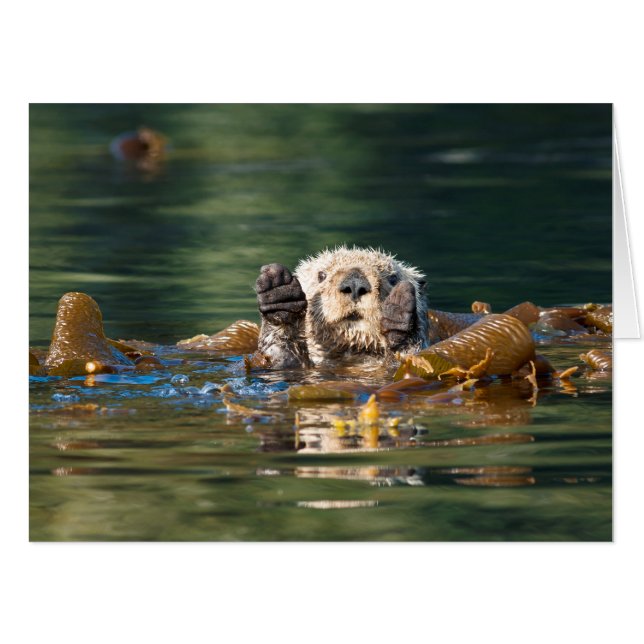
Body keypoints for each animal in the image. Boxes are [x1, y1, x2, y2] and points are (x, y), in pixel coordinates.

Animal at [254, 246, 428, 368]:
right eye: (321, 275)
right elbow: (280, 355)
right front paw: (279, 293)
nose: (355, 283)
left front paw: (398, 316)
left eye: (393, 278)